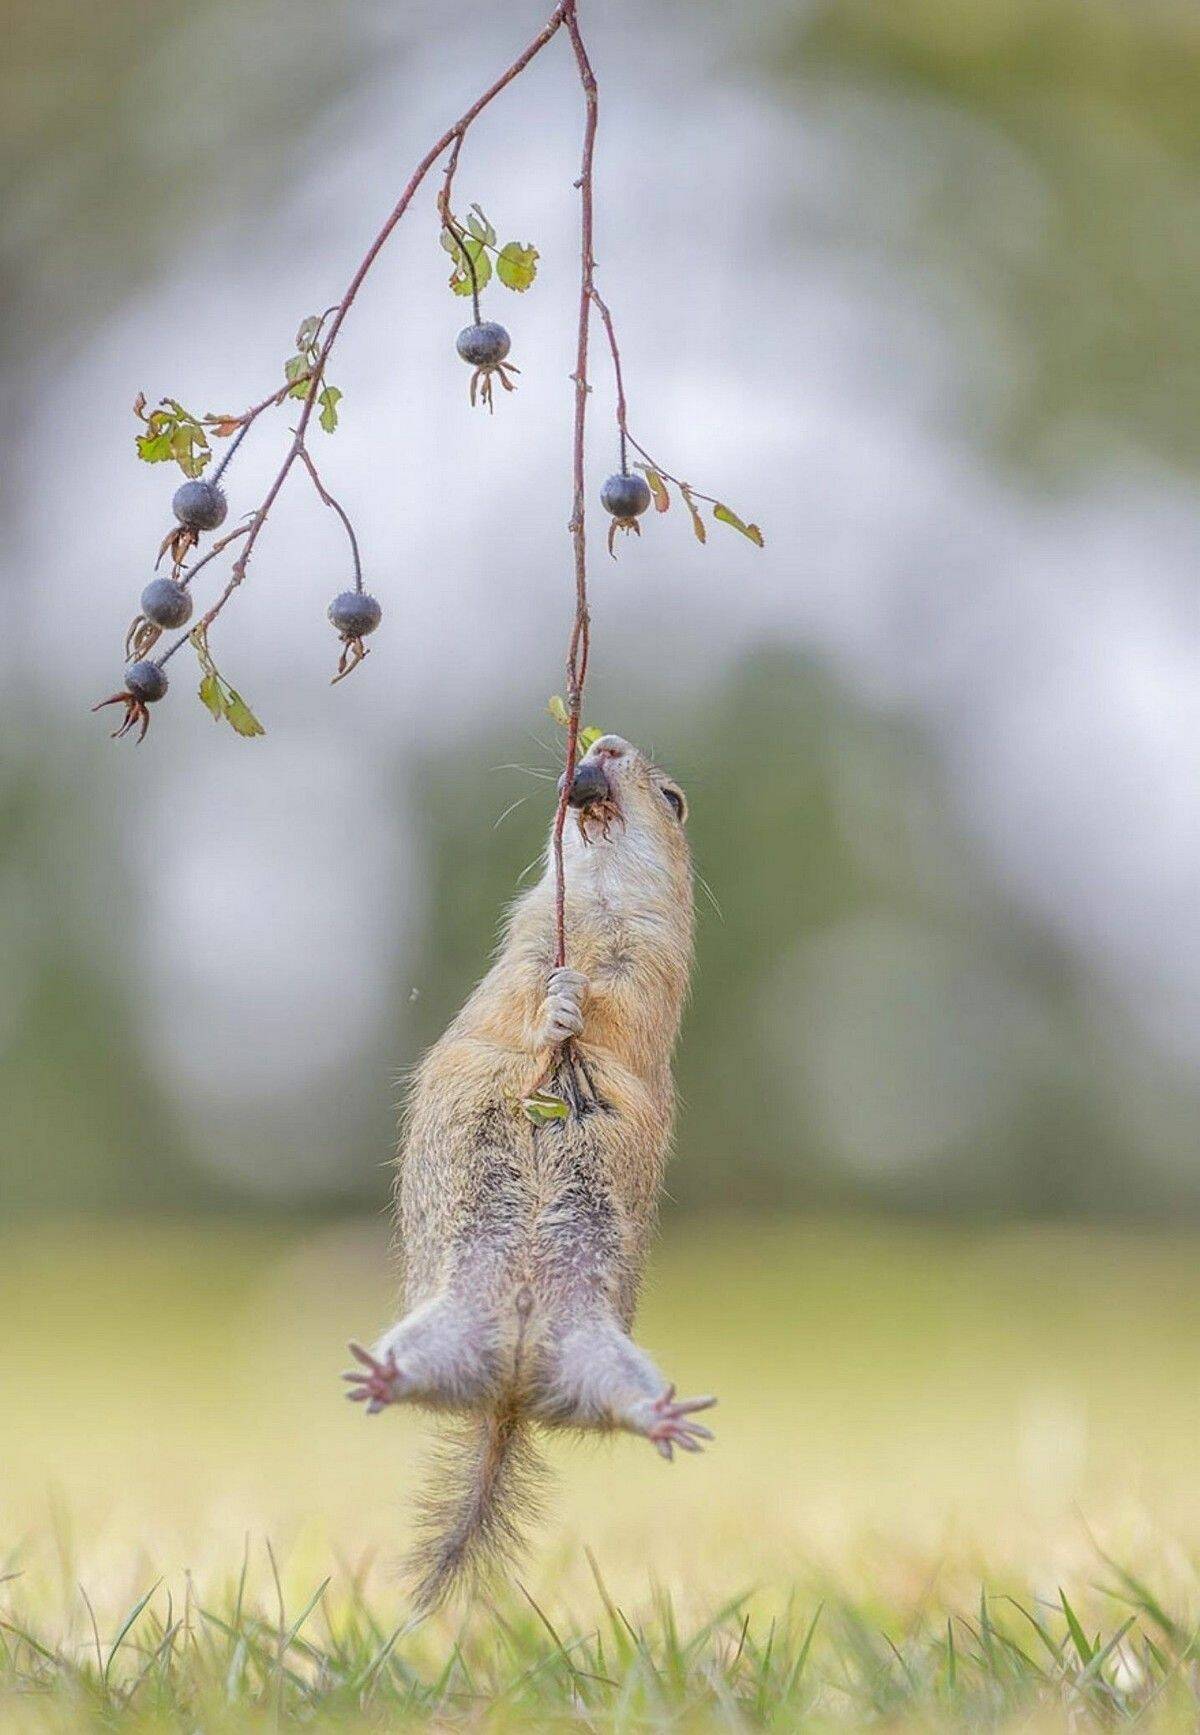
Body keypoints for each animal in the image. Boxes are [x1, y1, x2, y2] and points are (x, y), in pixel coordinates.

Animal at [341, 735, 710, 1610]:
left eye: (674, 800)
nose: (603, 744)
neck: (596, 902)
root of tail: (509, 1390)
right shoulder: (525, 942)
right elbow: (520, 997)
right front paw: (556, 1007)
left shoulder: (653, 964)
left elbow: (621, 1006)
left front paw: (575, 1004)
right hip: (450, 1328)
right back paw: (380, 1375)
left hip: (597, 1353)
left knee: (616, 1404)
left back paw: (666, 1416)